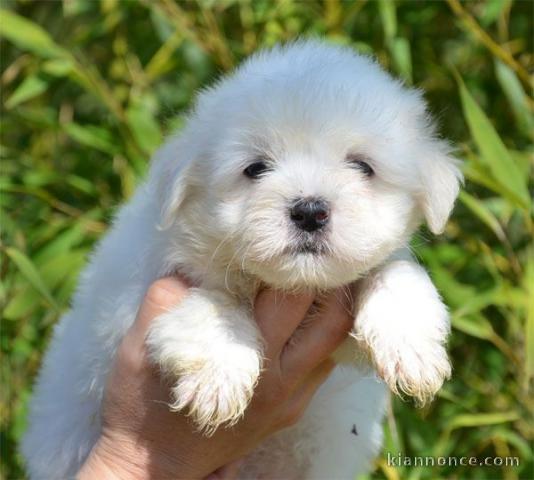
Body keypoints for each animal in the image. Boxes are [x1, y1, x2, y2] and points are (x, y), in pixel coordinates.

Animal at [23, 42, 462, 480]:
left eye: (362, 166)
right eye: (255, 168)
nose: (309, 211)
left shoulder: (336, 347)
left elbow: (395, 269)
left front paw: (411, 346)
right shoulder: (131, 306)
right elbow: (214, 302)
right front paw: (219, 377)